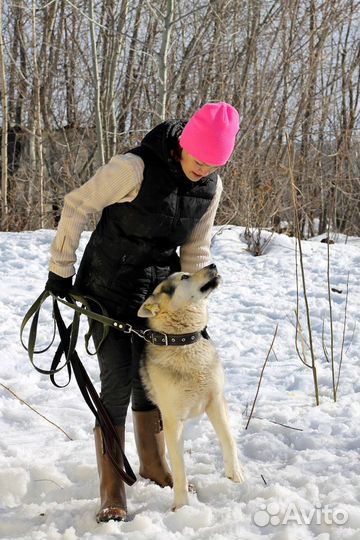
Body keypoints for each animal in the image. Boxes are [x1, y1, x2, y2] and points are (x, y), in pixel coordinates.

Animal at [137, 264, 245, 508]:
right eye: (184, 277)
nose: (213, 264)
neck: (183, 342)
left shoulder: (215, 402)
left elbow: (229, 440)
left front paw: (236, 477)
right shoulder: (172, 420)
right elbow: (179, 469)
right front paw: (182, 507)